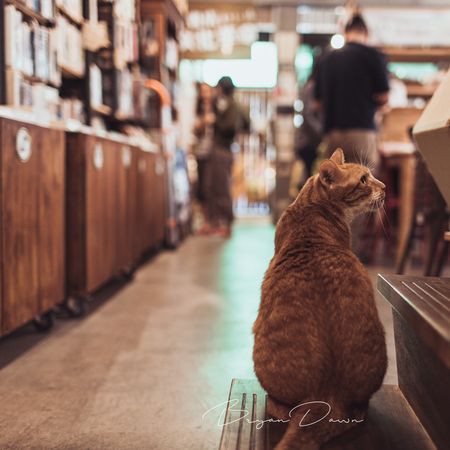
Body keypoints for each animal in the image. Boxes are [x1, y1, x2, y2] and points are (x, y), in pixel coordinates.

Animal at [253, 149, 386, 448]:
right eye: (363, 179)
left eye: (371, 176)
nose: (385, 187)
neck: (313, 207)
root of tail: (327, 396)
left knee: (282, 409)